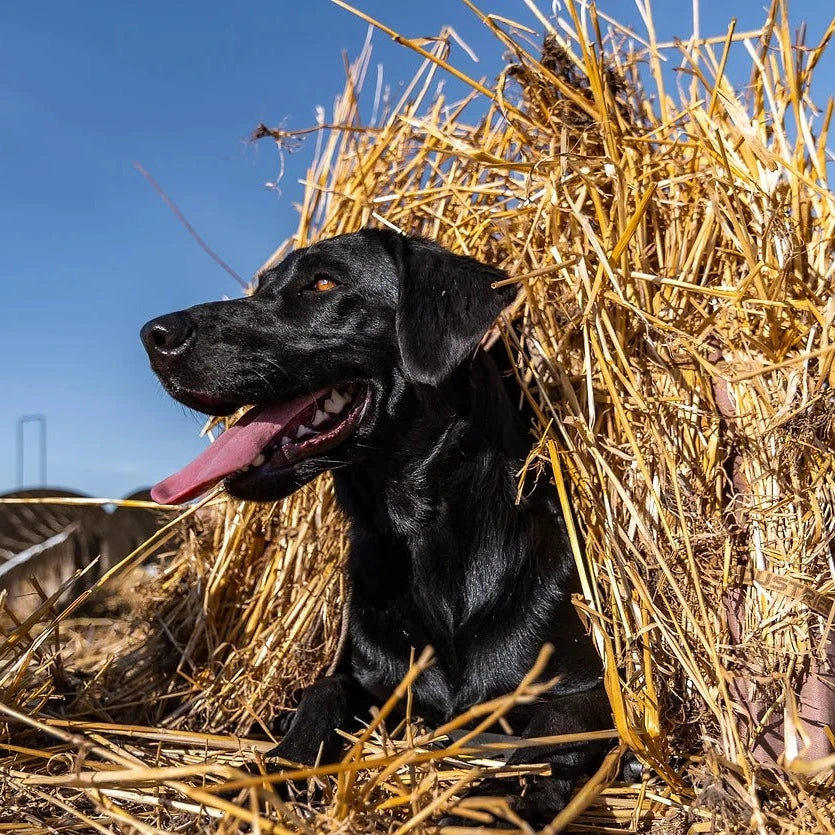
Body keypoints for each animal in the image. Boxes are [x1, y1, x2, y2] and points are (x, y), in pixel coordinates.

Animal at [142, 229, 612, 824]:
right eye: (261, 286)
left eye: (323, 283)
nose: (153, 335)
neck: (420, 538)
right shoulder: (363, 675)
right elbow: (322, 693)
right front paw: (276, 768)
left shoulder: (591, 690)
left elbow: (553, 733)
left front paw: (494, 801)